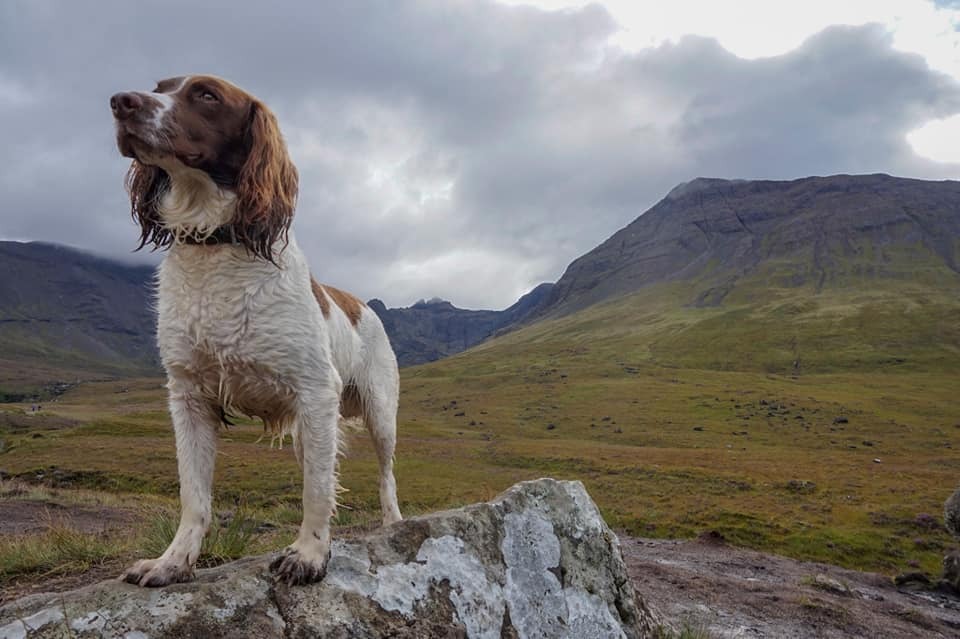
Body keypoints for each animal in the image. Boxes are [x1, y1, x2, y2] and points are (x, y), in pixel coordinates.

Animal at [111, 75, 402, 584]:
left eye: (206, 95)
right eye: (159, 87)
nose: (121, 103)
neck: (216, 244)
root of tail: (362, 303)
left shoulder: (315, 390)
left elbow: (316, 492)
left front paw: (309, 554)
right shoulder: (188, 397)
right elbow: (194, 496)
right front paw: (173, 562)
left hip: (379, 413)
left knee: (386, 474)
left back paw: (392, 523)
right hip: (310, 430)